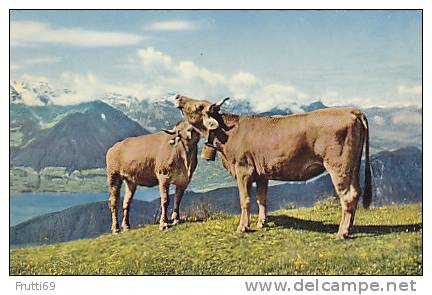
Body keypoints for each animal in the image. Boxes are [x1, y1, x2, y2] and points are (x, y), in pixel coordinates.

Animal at [174, 96, 370, 239]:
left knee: (347, 195)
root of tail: (352, 110)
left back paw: (341, 232)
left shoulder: (243, 169)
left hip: (338, 165)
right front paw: (262, 223)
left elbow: (245, 200)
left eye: (198, 106)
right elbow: (262, 198)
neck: (228, 133)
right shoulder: (262, 173)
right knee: (356, 192)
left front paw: (243, 227)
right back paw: (349, 228)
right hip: (353, 166)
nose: (178, 97)